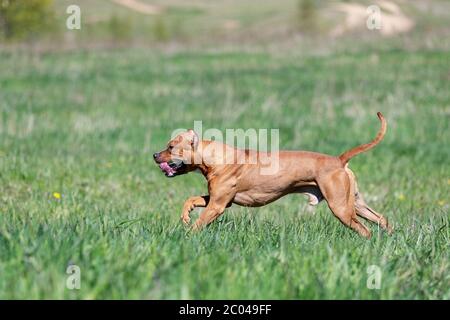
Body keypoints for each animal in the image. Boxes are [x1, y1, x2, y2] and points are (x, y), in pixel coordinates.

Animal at [154, 112, 390, 238]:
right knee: (382, 219)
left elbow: (199, 223)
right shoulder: (217, 199)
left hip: (340, 208)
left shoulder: (217, 205)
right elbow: (191, 200)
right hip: (355, 204)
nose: (154, 155)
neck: (215, 158)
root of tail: (339, 160)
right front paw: (186, 214)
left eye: (171, 146)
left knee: (364, 230)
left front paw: (185, 235)